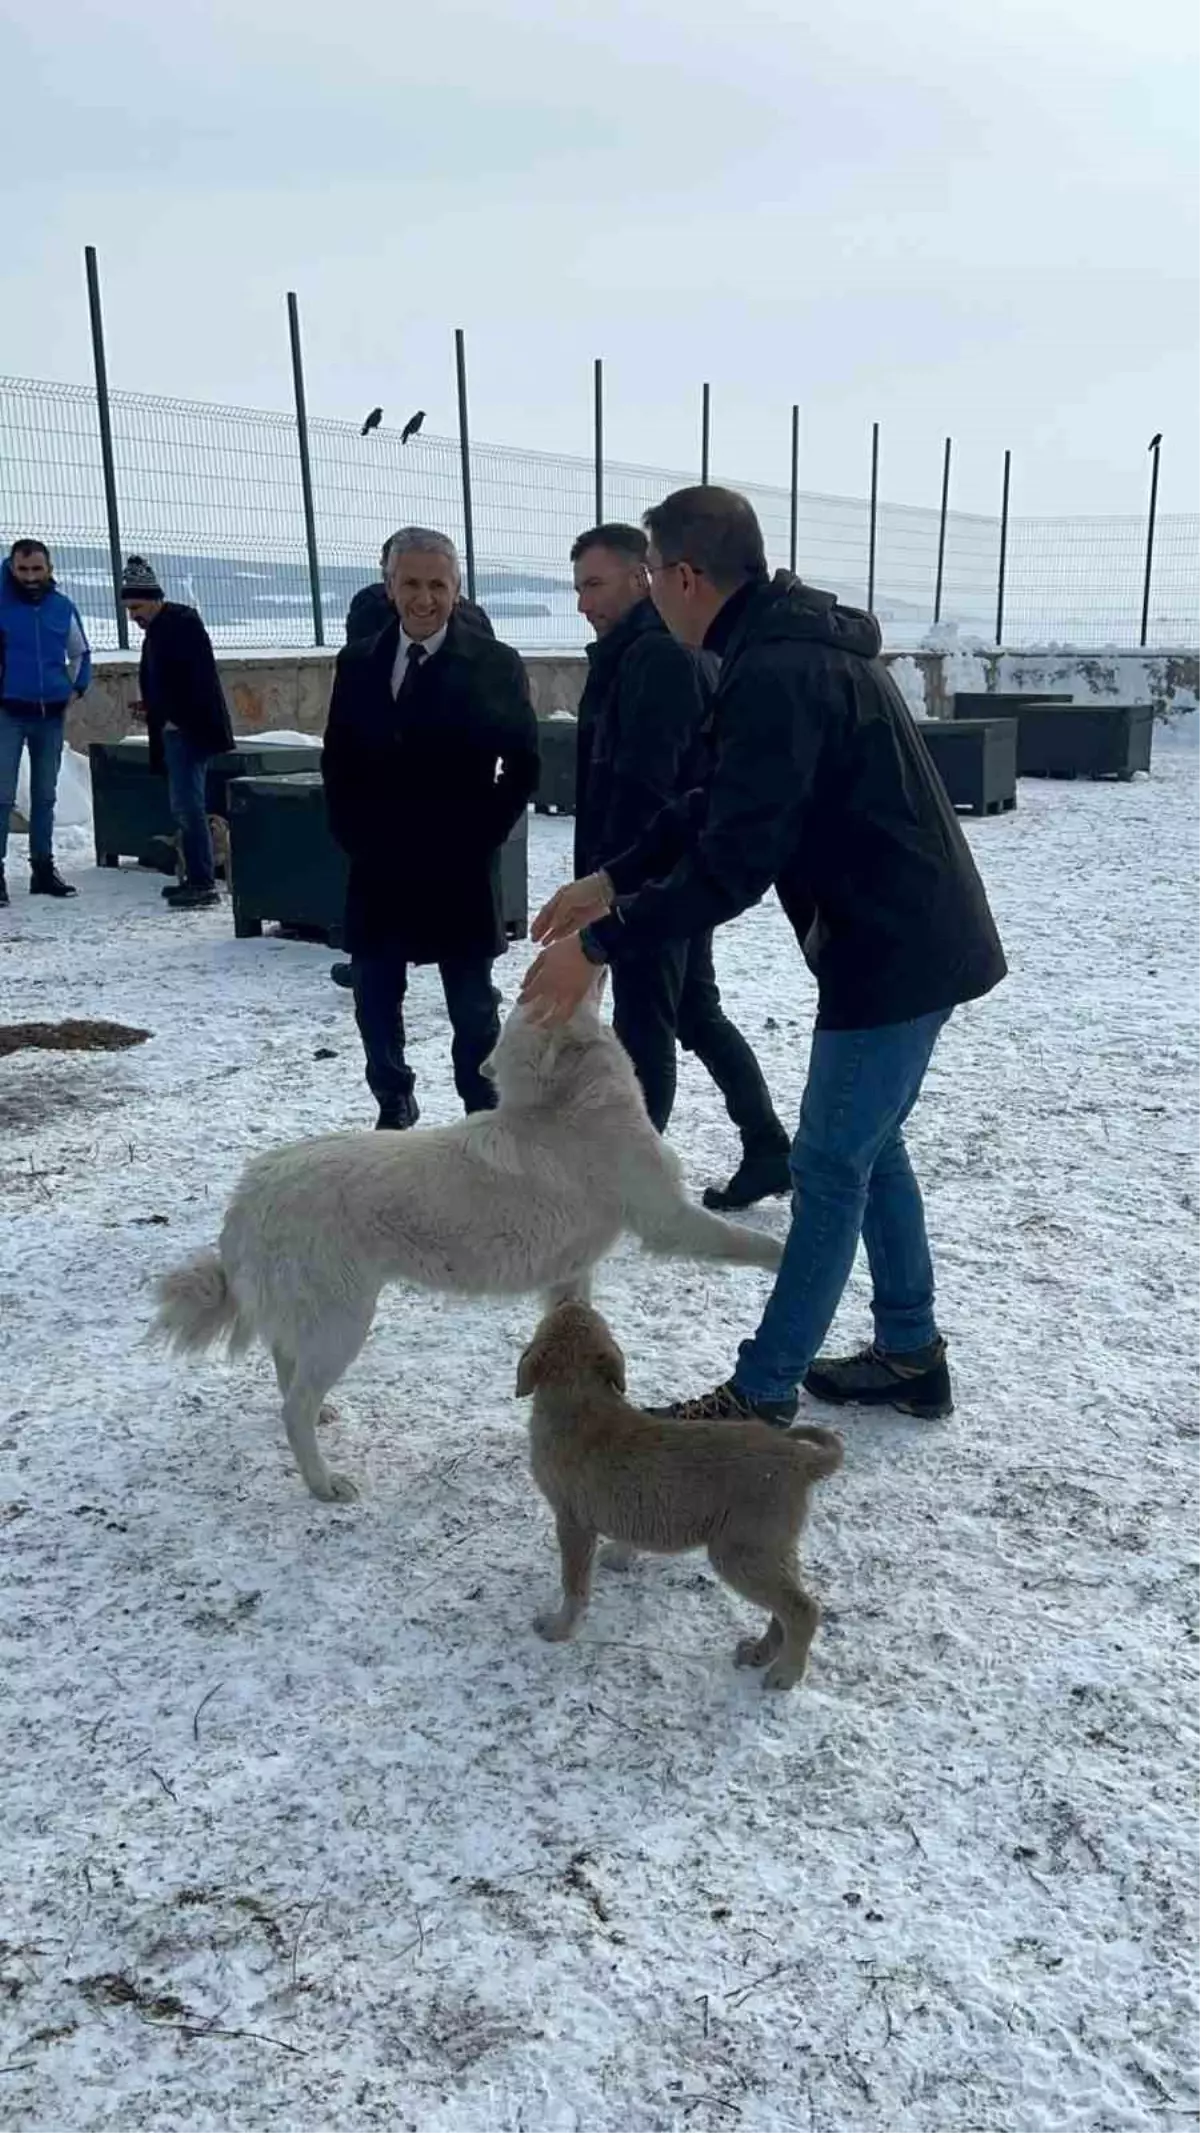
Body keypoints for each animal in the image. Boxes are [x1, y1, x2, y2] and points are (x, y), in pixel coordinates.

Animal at [154, 998, 784, 1501]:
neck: (567, 1108)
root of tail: (251, 1191)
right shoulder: (670, 1224)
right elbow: (759, 1244)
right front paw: (795, 1256)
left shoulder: (570, 1276)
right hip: (344, 1323)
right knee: (293, 1406)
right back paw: (323, 1483)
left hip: (316, 1318)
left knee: (289, 1370)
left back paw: (323, 1419)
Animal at [515, 1288, 844, 1689]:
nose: (569, 1299)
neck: (581, 1398)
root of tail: (800, 1458)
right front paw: (619, 1556)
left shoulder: (572, 1523)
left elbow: (573, 1585)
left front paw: (560, 1628)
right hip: (772, 1549)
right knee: (785, 1607)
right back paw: (760, 1652)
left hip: (741, 1553)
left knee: (803, 1609)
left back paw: (785, 1673)